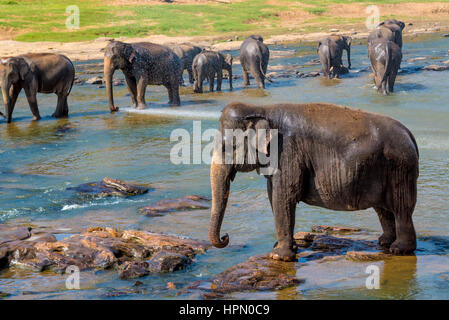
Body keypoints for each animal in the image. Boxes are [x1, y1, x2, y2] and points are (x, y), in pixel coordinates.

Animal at [208, 101, 418, 262]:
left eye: (227, 146)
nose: (226, 236)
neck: (262, 108)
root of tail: (409, 133)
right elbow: (273, 196)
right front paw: (285, 248)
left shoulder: (287, 152)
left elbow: (284, 196)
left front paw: (278, 256)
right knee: (384, 210)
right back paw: (384, 242)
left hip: (400, 169)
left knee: (401, 208)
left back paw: (399, 249)